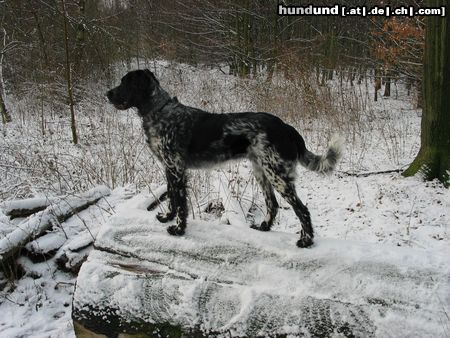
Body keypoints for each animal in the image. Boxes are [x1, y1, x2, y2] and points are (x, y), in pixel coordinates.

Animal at [106, 69, 344, 248]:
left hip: (278, 175)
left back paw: (306, 241)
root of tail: (286, 127)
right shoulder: (169, 168)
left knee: (302, 210)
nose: (107, 93)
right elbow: (172, 198)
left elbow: (181, 204)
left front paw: (178, 229)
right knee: (273, 204)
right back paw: (264, 227)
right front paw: (167, 217)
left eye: (126, 82)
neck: (159, 112)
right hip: (262, 171)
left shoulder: (177, 169)